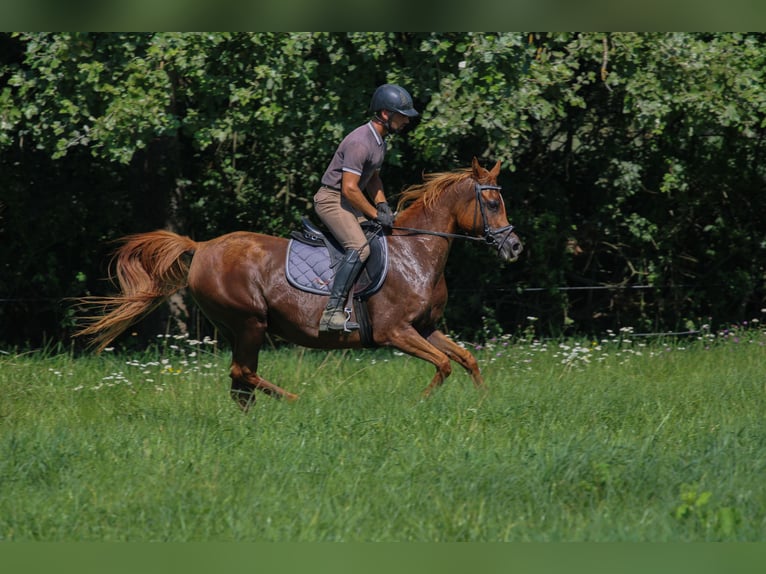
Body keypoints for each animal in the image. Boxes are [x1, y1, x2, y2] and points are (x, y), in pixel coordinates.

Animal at [76, 158, 520, 410]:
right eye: (492, 202)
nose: (514, 246)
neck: (417, 251)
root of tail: (200, 247)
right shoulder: (396, 331)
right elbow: (443, 364)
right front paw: (419, 405)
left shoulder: (425, 327)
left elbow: (466, 359)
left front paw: (485, 401)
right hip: (250, 323)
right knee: (243, 374)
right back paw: (296, 401)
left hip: (242, 329)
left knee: (239, 383)